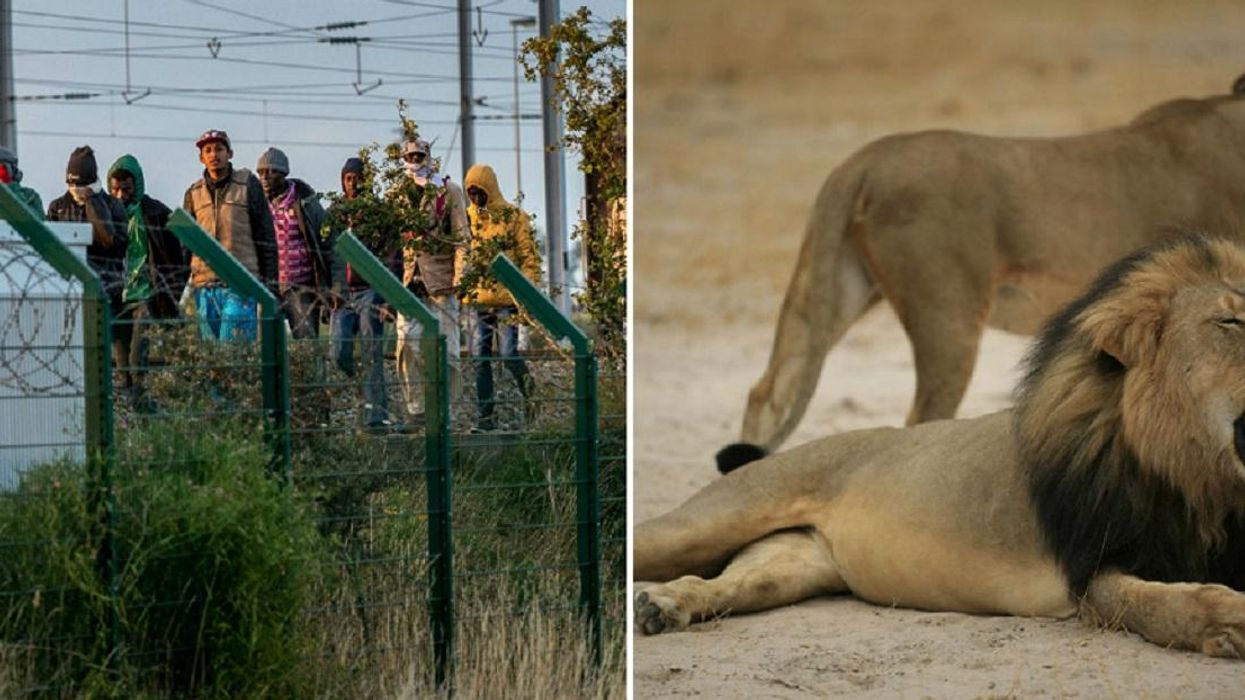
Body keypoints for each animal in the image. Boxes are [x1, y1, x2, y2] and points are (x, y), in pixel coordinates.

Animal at [636, 236, 1245, 658]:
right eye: (1231, 319)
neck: (1202, 480)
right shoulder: (1092, 573)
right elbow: (1165, 603)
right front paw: (1231, 623)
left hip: (792, 564)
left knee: (729, 581)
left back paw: (666, 606)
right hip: (705, 523)